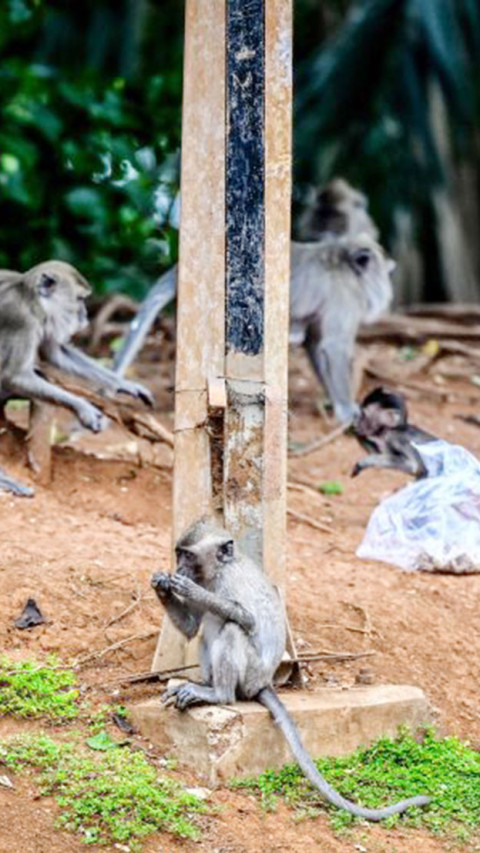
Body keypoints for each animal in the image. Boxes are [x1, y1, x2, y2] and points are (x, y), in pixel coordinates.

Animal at [0, 262, 154, 496]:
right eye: (80, 299)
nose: (85, 315)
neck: (30, 298)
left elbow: (55, 353)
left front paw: (125, 385)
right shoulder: (22, 320)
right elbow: (15, 375)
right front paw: (83, 407)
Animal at [113, 233, 394, 422]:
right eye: (381, 270)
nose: (389, 273)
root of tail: (181, 268)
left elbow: (314, 344)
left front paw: (334, 401)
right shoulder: (344, 297)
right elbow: (334, 346)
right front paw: (347, 409)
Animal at [151, 516, 432, 824]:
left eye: (188, 556)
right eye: (179, 554)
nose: (179, 568)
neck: (218, 571)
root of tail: (262, 683)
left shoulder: (230, 582)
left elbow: (246, 619)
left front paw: (191, 590)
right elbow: (191, 629)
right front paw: (160, 584)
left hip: (250, 675)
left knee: (233, 628)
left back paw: (218, 694)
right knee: (206, 635)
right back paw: (204, 684)